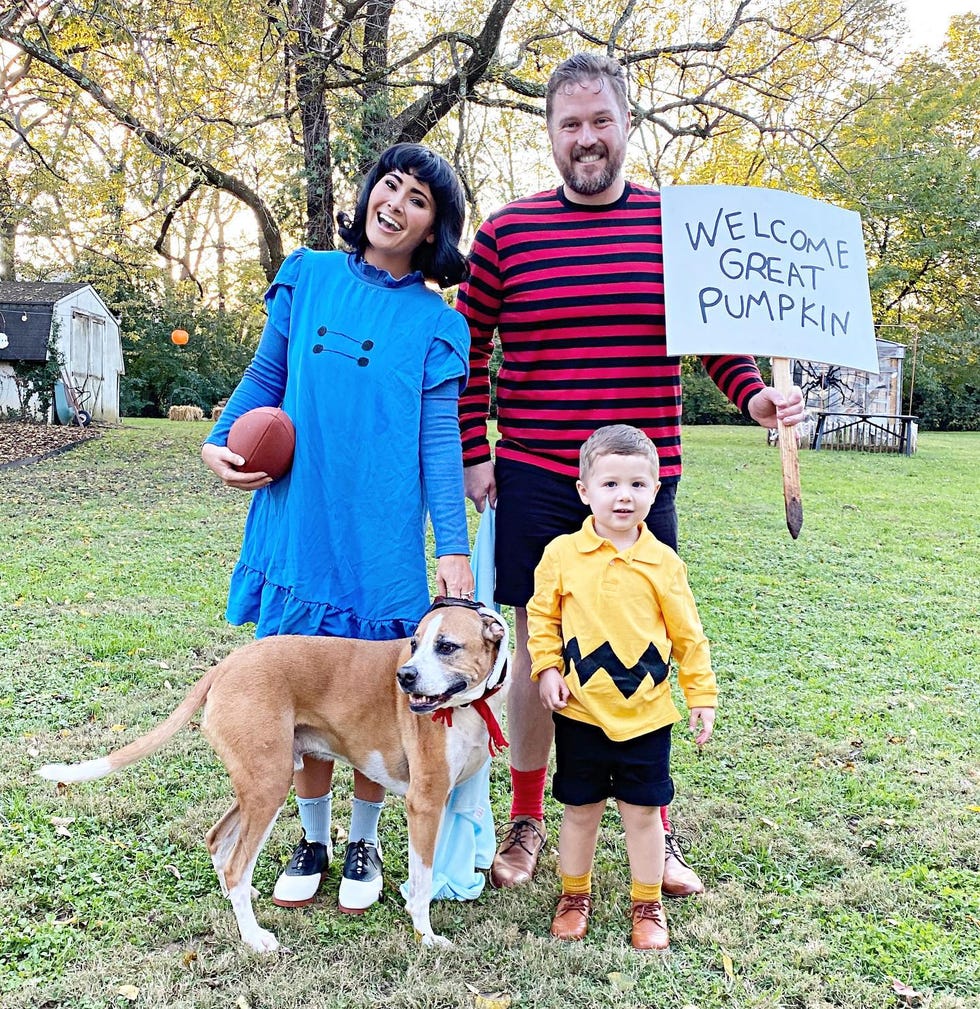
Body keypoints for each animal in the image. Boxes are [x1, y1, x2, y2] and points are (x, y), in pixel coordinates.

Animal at [36, 597, 512, 952]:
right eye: (414, 643)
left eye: (446, 646)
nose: (405, 676)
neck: (468, 705)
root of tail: (225, 666)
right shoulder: (425, 804)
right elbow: (423, 879)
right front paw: (426, 935)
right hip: (269, 785)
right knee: (236, 864)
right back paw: (253, 937)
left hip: (258, 782)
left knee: (219, 841)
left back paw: (237, 900)